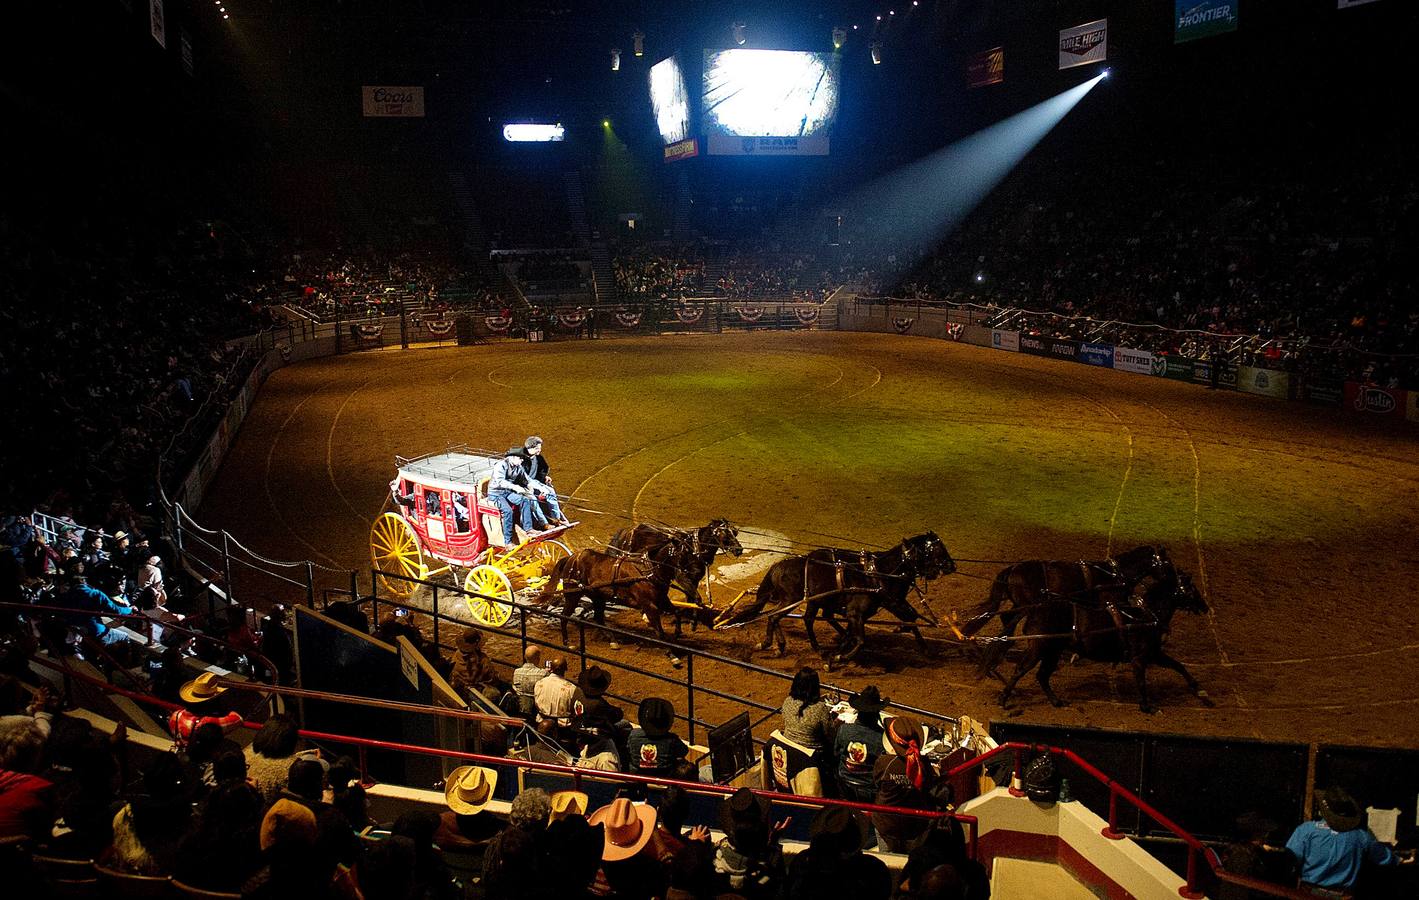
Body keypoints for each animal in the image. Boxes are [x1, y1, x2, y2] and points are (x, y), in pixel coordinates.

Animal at [726, 528, 959, 661]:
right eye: (937, 550)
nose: (951, 565)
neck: (877, 572)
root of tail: (778, 566)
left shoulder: (886, 604)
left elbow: (908, 618)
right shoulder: (861, 611)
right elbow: (861, 640)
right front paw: (838, 656)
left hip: (809, 601)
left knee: (803, 618)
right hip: (792, 600)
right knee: (776, 616)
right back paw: (775, 645)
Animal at [981, 556, 1214, 712]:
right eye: (1191, 589)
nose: (1205, 606)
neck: (1146, 615)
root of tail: (1035, 609)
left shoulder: (1154, 654)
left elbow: (1179, 666)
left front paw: (1201, 693)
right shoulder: (1140, 659)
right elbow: (1141, 681)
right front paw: (1147, 706)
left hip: (1052, 651)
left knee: (1042, 675)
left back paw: (1056, 701)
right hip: (1039, 648)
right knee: (1022, 669)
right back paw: (1004, 697)